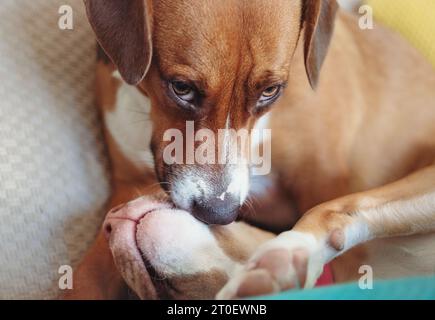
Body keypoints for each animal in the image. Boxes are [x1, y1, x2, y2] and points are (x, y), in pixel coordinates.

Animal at [63, 0, 435, 300]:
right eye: (181, 88)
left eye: (270, 91)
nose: (219, 213)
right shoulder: (131, 189)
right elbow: (85, 280)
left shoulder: (323, 184)